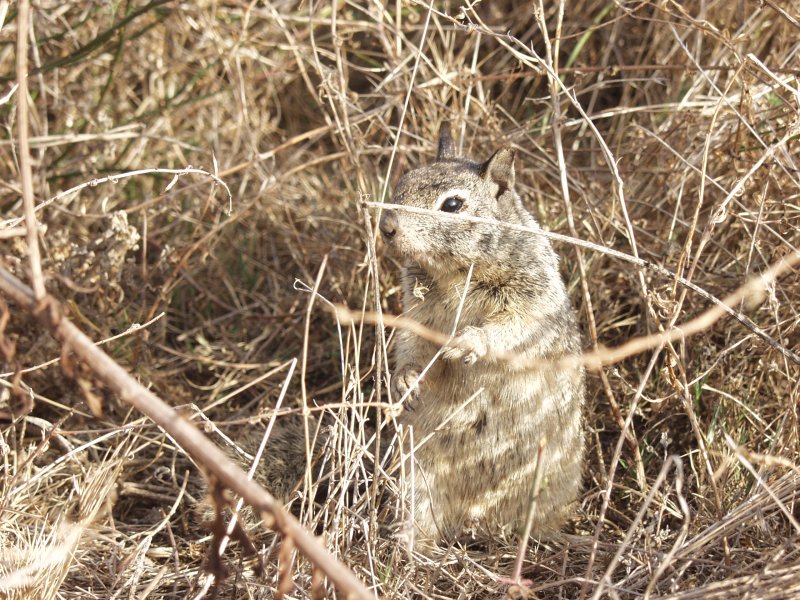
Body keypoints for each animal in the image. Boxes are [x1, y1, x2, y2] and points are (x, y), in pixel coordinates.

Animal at [378, 124, 584, 552]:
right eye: (401, 183)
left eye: (453, 204)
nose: (386, 226)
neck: (453, 274)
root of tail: (473, 525)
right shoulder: (416, 315)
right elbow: (410, 346)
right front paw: (405, 381)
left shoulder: (529, 304)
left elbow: (507, 330)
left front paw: (467, 343)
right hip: (417, 479)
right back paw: (407, 543)